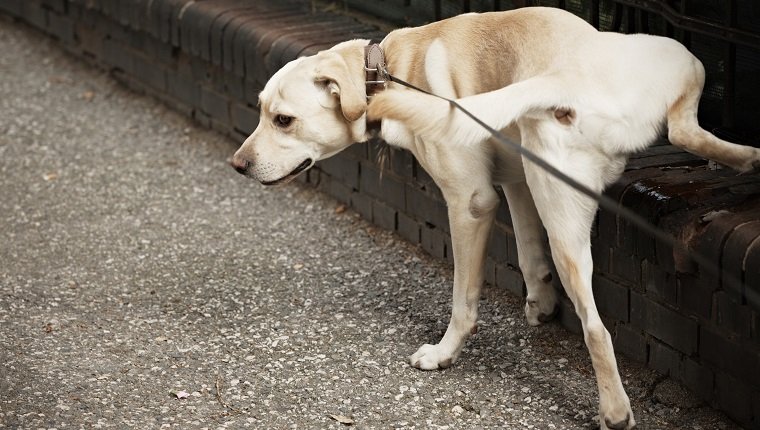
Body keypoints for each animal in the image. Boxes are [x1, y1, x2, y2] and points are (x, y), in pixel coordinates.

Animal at [230, 5, 760, 428]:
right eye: (260, 110)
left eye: (283, 120)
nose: (237, 165)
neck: (389, 66)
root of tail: (564, 77)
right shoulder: (518, 180)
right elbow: (527, 252)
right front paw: (540, 302)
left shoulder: (471, 202)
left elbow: (464, 301)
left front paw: (445, 353)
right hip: (672, 68)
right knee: (686, 131)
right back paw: (747, 156)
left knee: (595, 329)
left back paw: (613, 411)